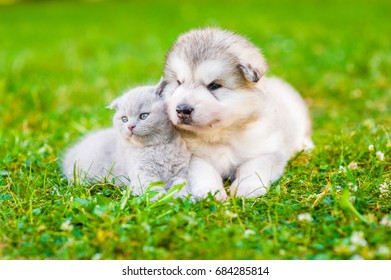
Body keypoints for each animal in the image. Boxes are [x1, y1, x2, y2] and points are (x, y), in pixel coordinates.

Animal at [62, 85, 192, 197]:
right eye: (124, 119)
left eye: (144, 116)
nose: (130, 126)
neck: (156, 146)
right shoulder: (142, 175)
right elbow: (153, 190)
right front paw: (166, 201)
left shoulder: (180, 171)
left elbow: (180, 185)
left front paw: (181, 197)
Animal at [158, 27, 314, 200]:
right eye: (179, 83)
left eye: (214, 85)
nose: (182, 109)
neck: (222, 137)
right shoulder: (192, 156)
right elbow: (202, 170)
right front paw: (211, 192)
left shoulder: (267, 150)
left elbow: (254, 168)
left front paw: (246, 188)